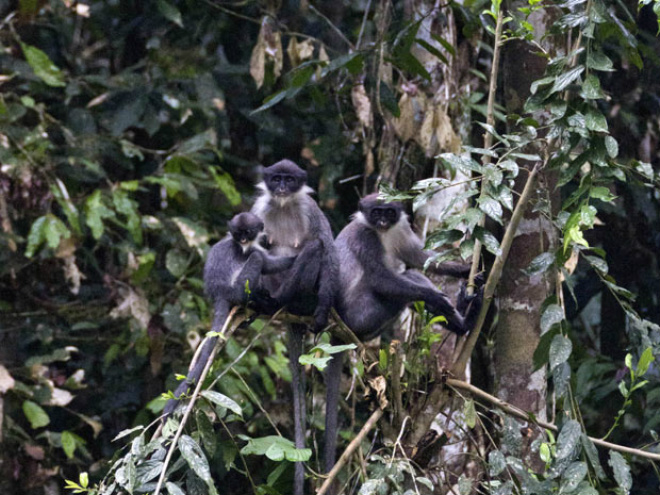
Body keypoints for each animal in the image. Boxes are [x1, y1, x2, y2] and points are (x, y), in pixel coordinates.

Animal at [165, 213, 296, 418]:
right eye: (238, 233)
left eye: (247, 232)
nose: (242, 240)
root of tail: (220, 291)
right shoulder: (249, 251)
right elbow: (266, 264)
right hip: (239, 288)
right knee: (256, 260)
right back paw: (258, 302)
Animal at [250, 160, 338, 495]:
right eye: (276, 179)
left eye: (289, 180)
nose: (281, 187)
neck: (284, 205)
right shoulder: (259, 208)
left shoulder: (309, 208)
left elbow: (327, 248)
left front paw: (323, 313)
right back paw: (266, 303)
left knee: (314, 247)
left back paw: (287, 303)